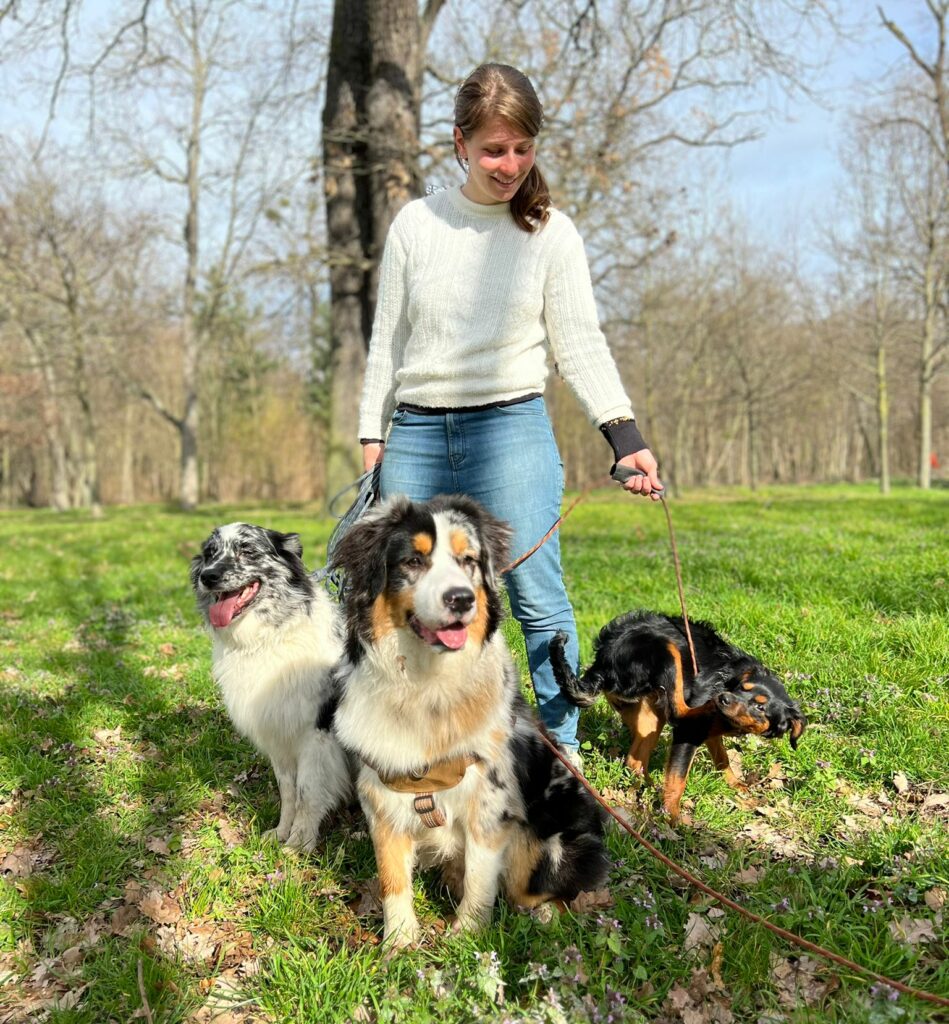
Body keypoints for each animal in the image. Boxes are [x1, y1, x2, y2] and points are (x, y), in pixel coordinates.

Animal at [548, 610, 810, 819]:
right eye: (740, 689)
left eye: (760, 707)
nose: (722, 698)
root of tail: (603, 659)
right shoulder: (689, 732)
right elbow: (678, 780)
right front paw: (672, 817)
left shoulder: (710, 732)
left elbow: (723, 759)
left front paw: (736, 786)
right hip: (666, 651)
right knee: (679, 711)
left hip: (649, 716)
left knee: (634, 760)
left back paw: (647, 786)